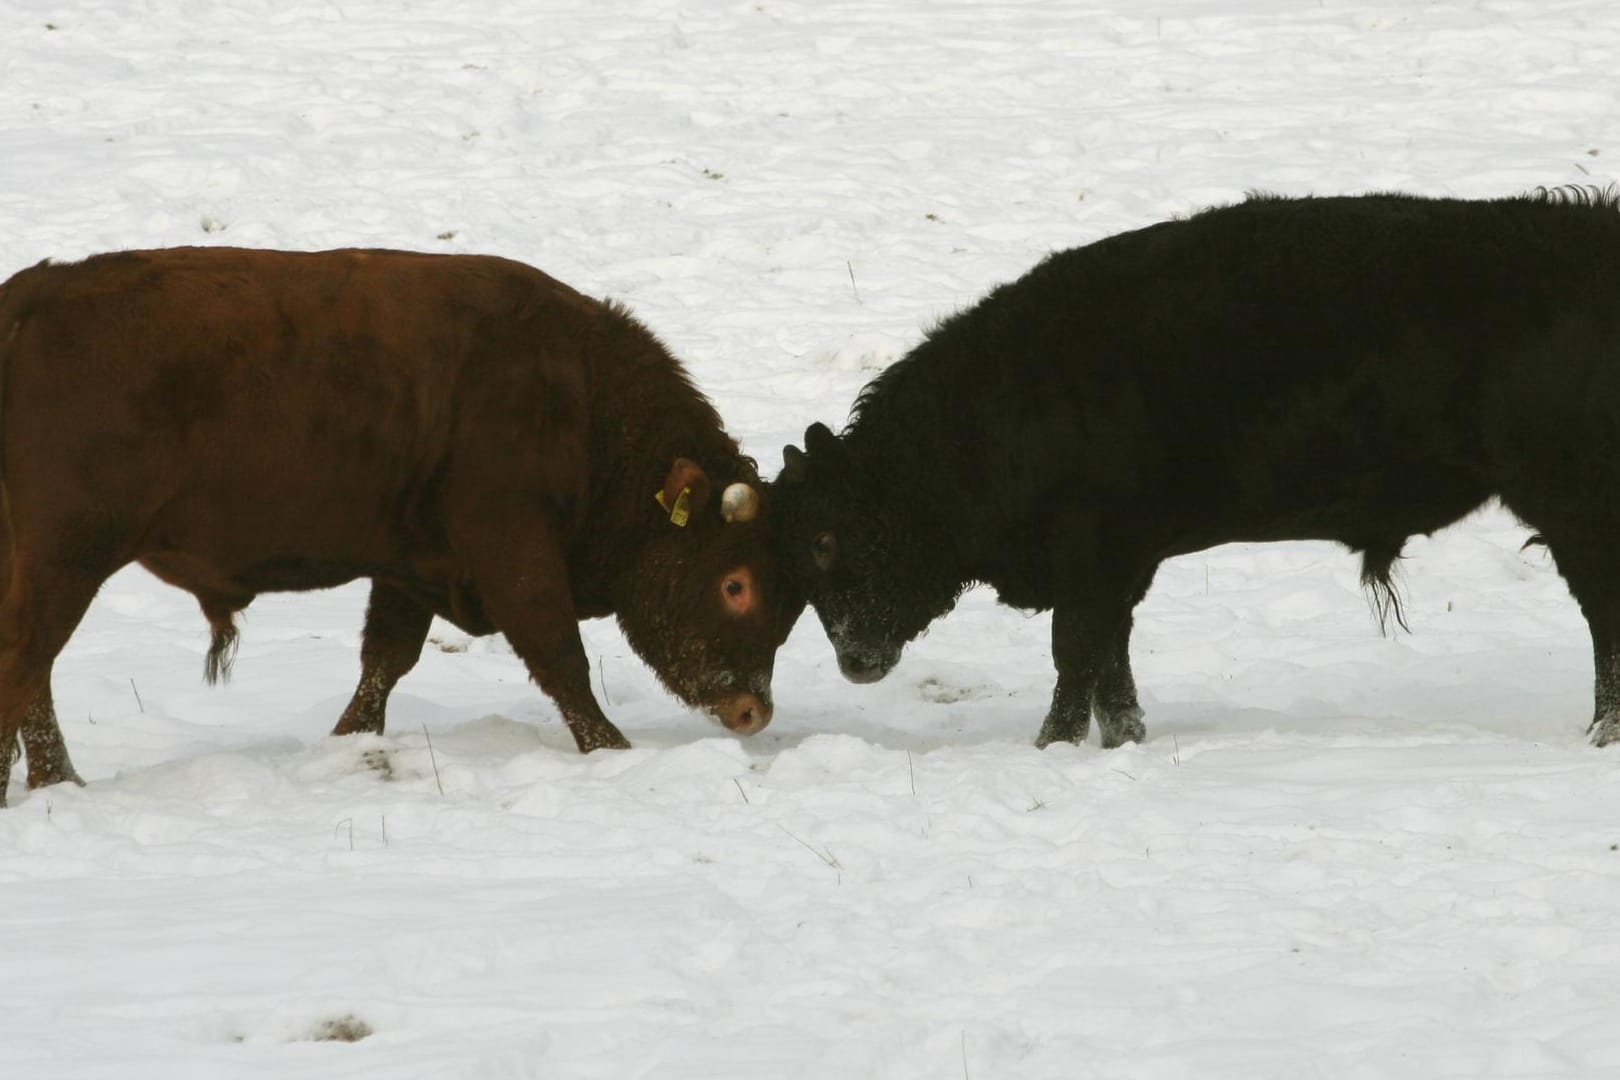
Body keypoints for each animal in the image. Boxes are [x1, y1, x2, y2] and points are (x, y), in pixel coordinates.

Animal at [0, 244, 803, 803]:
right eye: (735, 584)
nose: (751, 710)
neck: (583, 404)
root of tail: (30, 299)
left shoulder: (412, 565)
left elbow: (384, 662)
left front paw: (348, 742)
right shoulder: (513, 552)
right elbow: (560, 659)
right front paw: (614, 751)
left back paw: (57, 781)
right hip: (66, 559)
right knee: (25, 661)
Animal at [771, 190, 1620, 748]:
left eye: (825, 539)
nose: (854, 660)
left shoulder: (1093, 562)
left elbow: (1075, 656)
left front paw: (1051, 746)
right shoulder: (1118, 568)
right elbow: (1110, 666)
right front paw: (1121, 739)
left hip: (1572, 508)